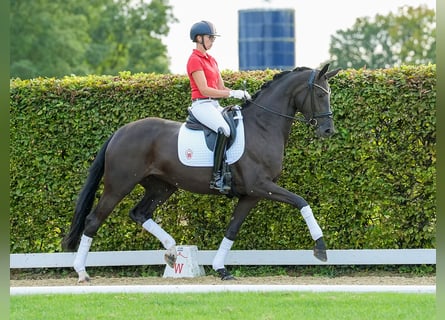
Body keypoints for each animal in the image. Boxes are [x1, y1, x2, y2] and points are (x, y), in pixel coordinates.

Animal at [61, 63, 340, 282]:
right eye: (319, 94)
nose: (328, 130)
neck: (262, 126)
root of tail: (120, 132)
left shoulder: (251, 194)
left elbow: (232, 230)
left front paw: (221, 269)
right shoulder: (260, 186)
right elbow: (302, 202)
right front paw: (321, 249)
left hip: (162, 186)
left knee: (139, 213)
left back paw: (172, 252)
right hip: (119, 185)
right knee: (93, 220)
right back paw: (82, 272)